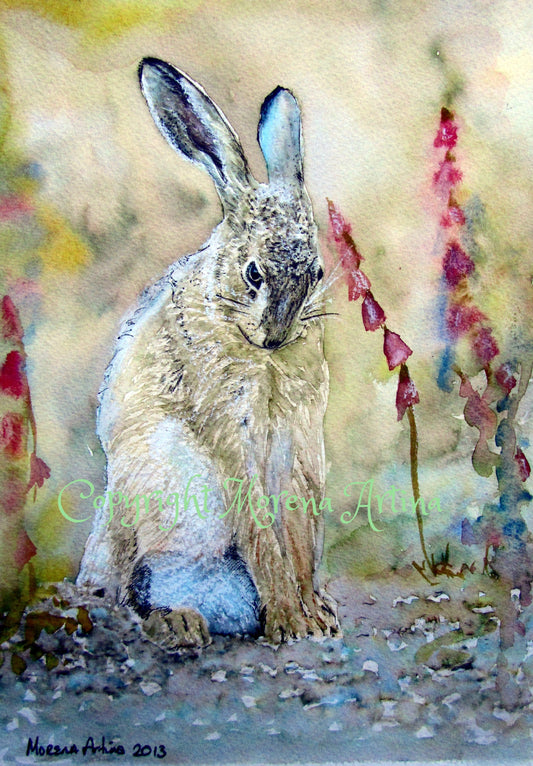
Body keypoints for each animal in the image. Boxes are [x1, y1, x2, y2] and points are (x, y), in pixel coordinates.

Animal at [77, 57, 339, 649]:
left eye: (315, 273)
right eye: (253, 273)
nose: (277, 335)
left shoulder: (298, 445)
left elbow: (298, 533)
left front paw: (315, 615)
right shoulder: (230, 430)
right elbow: (263, 535)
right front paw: (290, 621)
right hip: (145, 505)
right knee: (125, 596)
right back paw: (177, 622)